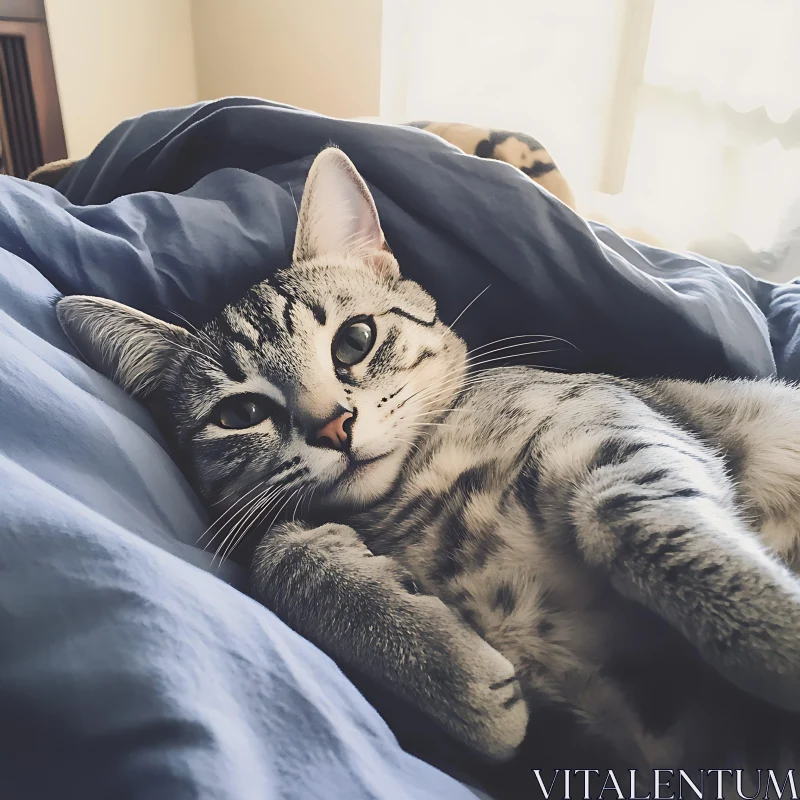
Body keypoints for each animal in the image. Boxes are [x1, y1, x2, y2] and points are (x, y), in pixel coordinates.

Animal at [56, 145, 800, 780]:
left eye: (354, 340)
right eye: (240, 414)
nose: (333, 426)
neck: (415, 494)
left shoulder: (611, 430)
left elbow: (655, 528)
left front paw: (776, 636)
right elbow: (279, 553)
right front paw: (451, 671)